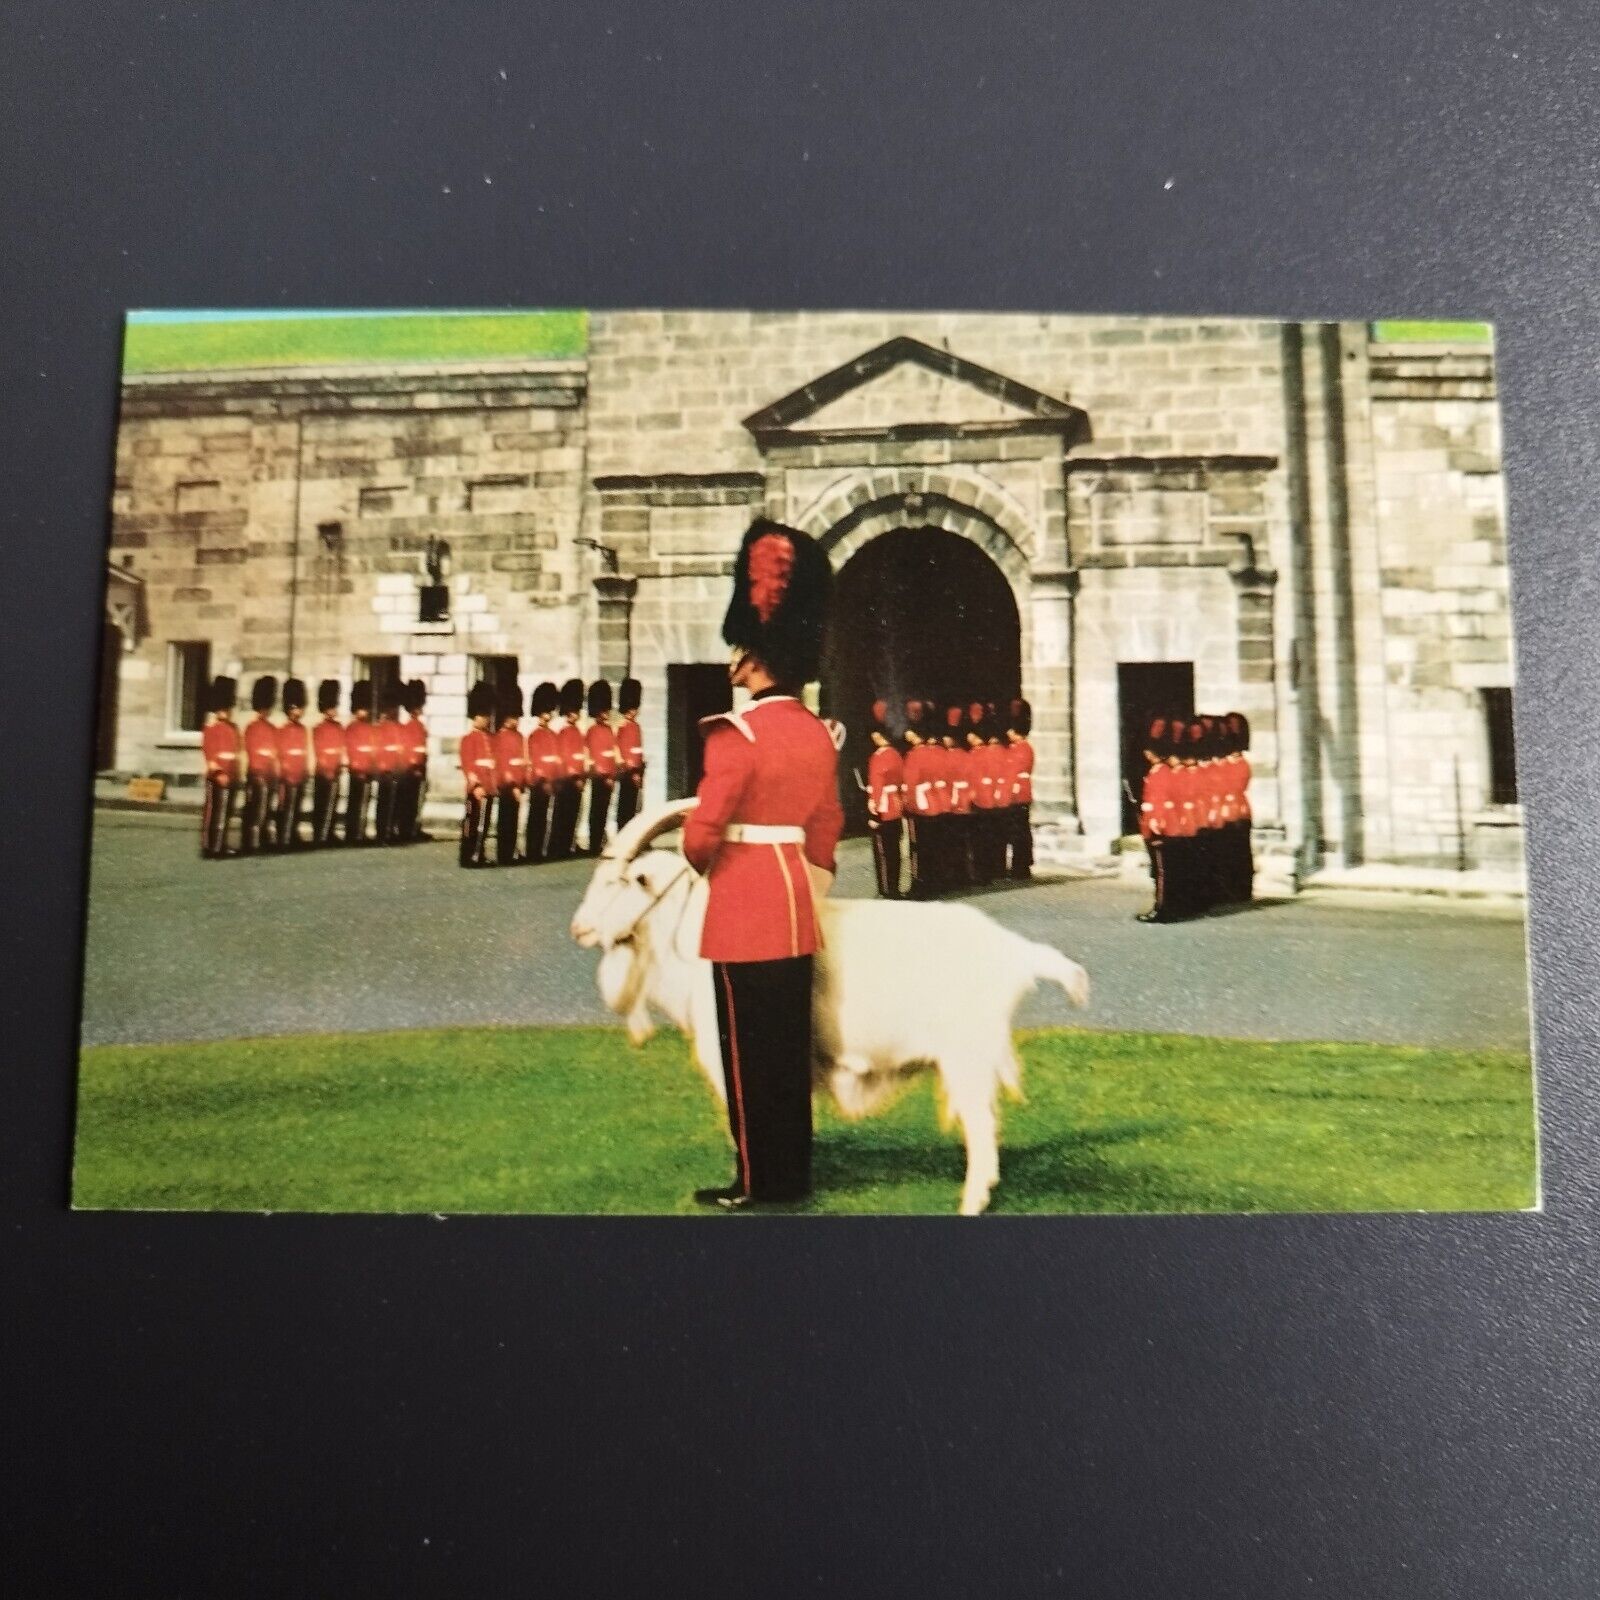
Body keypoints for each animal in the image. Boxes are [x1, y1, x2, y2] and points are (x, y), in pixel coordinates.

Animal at [569, 800, 1094, 1209]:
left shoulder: (725, 1053)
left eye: (621, 880)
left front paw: (740, 1191)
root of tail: (1014, 951)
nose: (580, 929)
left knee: (981, 1126)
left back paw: (971, 1202)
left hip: (967, 1055)